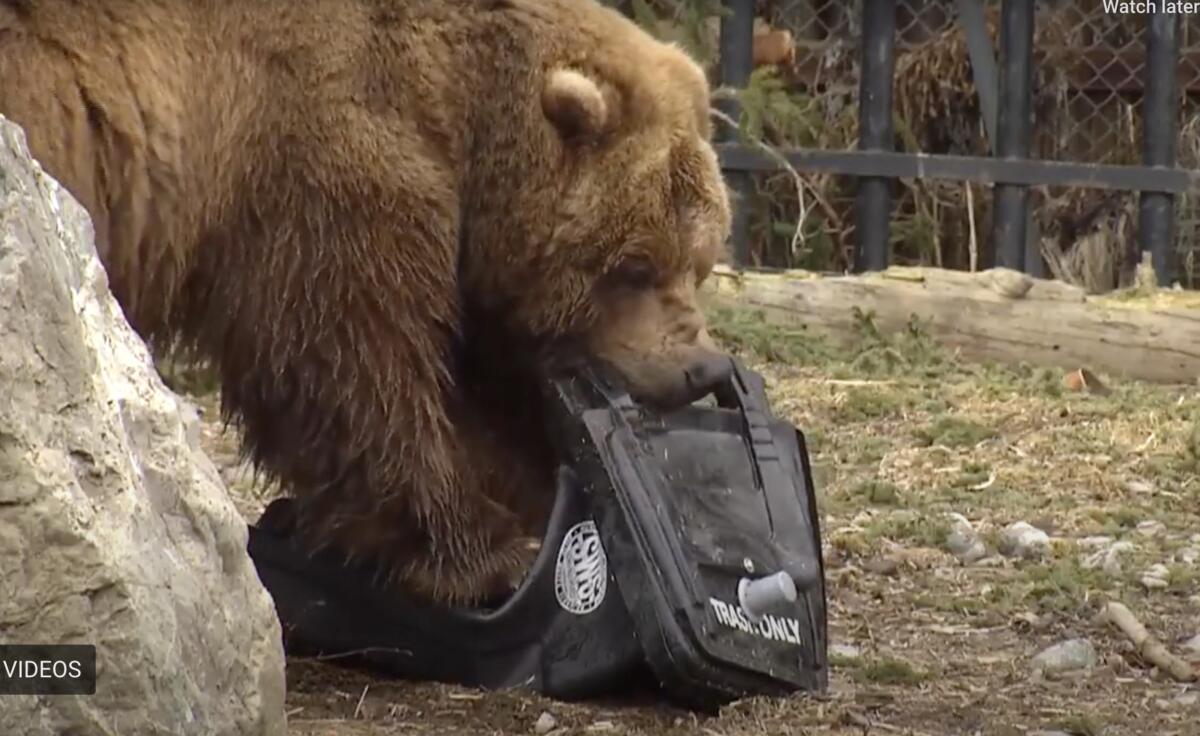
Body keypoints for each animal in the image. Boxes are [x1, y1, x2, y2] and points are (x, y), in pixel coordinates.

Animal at [0, 0, 734, 605]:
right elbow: (352, 360)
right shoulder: (323, 157)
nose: (699, 367)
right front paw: (486, 550)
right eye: (634, 266)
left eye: (698, 262)